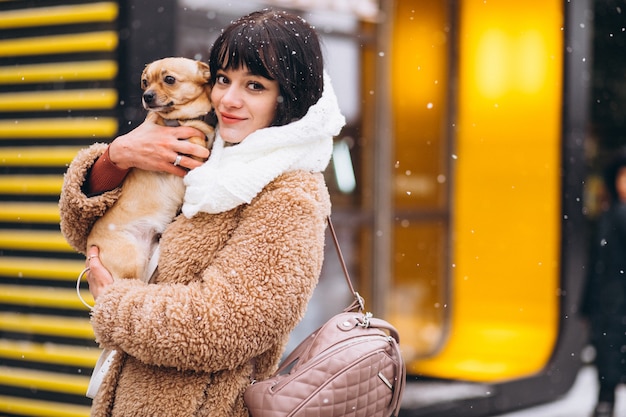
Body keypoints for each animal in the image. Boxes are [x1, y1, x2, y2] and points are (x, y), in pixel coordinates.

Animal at [88, 56, 214, 280]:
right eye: (145, 82)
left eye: (169, 79)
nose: (146, 96)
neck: (182, 120)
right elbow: (197, 141)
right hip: (132, 258)